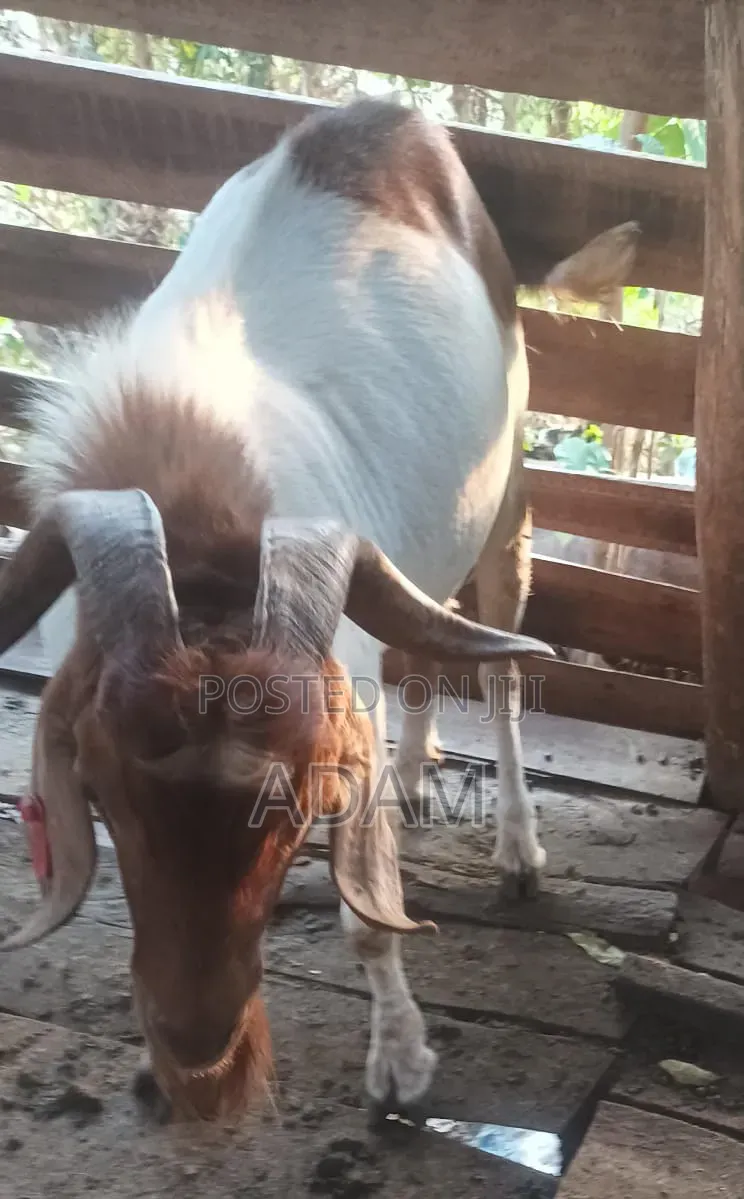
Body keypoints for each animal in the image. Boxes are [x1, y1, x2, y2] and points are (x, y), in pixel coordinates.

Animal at [0, 98, 637, 1122]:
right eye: (98, 787)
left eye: (300, 797)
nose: (195, 1045)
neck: (202, 518)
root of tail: (391, 115)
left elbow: (367, 913)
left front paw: (403, 1064)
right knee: (424, 635)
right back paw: (415, 774)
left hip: (505, 494)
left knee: (499, 662)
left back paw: (515, 849)